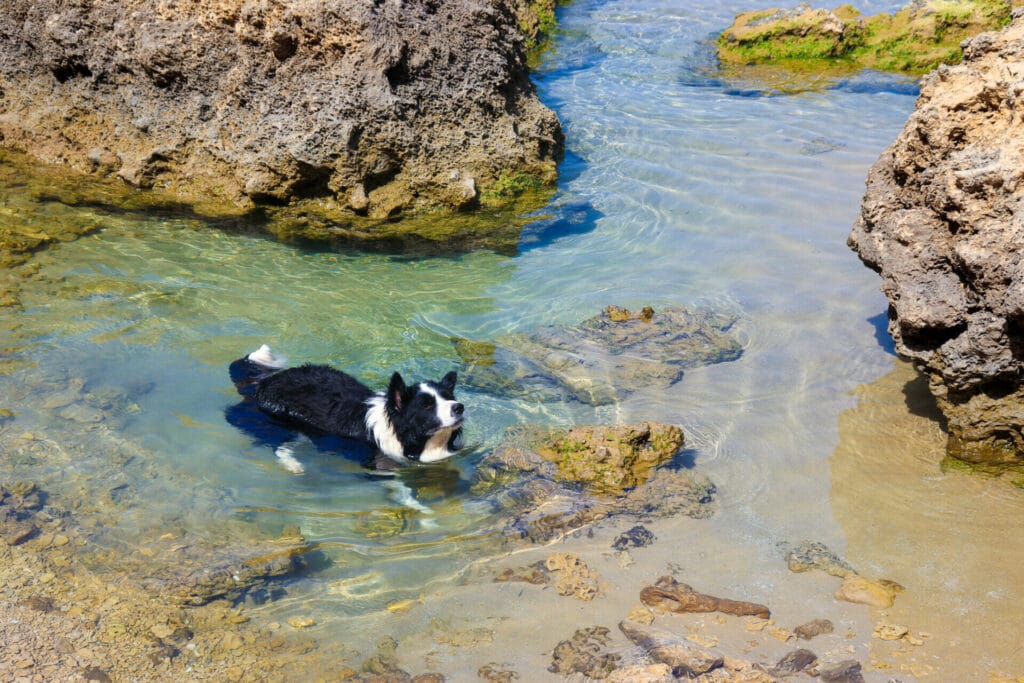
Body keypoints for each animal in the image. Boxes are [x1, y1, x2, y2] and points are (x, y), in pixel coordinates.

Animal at [227, 344, 464, 473]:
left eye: (448, 397)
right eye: (427, 405)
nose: (459, 407)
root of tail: (261, 384)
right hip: (272, 423)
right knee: (280, 444)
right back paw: (294, 466)